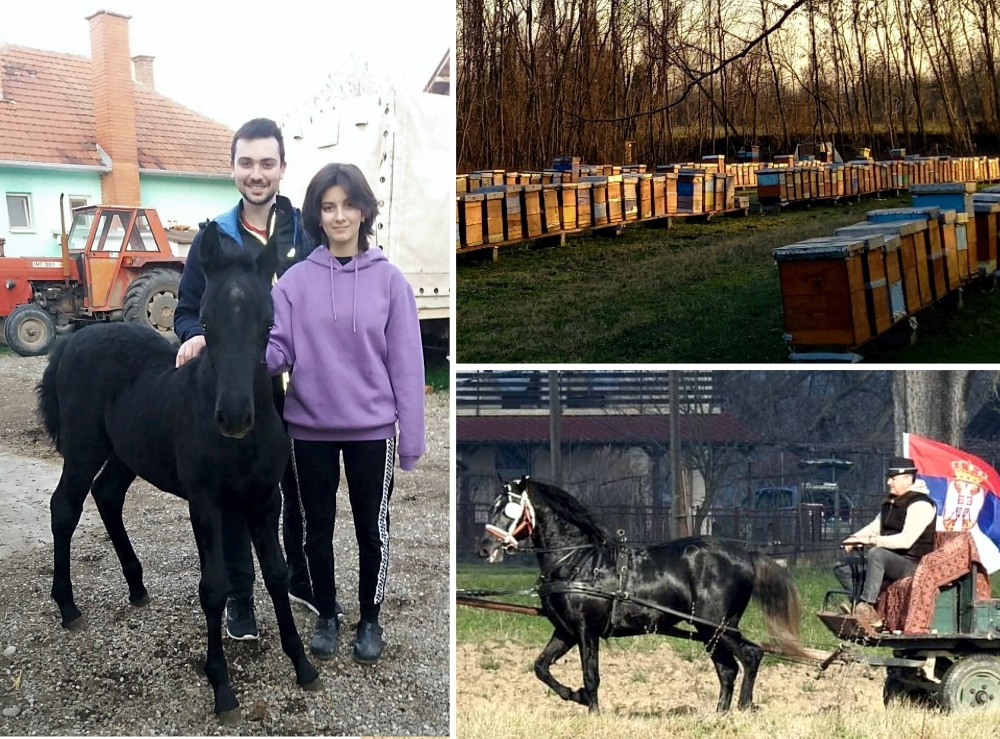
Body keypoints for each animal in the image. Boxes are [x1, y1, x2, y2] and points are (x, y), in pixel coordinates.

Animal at [38, 221, 320, 728]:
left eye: (268, 324)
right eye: (206, 324)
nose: (233, 417)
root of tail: (72, 341)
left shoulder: (266, 499)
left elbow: (276, 573)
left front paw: (302, 663)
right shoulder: (205, 504)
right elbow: (214, 587)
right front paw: (222, 689)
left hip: (126, 452)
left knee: (106, 494)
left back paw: (136, 585)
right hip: (85, 448)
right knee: (65, 507)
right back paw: (68, 606)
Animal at [476, 476, 804, 712]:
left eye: (508, 509)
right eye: (491, 507)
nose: (484, 549)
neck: (576, 560)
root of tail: (746, 555)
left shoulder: (586, 630)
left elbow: (591, 675)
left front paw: (592, 710)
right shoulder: (566, 631)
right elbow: (541, 667)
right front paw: (575, 695)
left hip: (716, 625)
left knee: (751, 656)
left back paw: (744, 707)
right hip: (709, 630)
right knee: (728, 669)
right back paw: (719, 714)